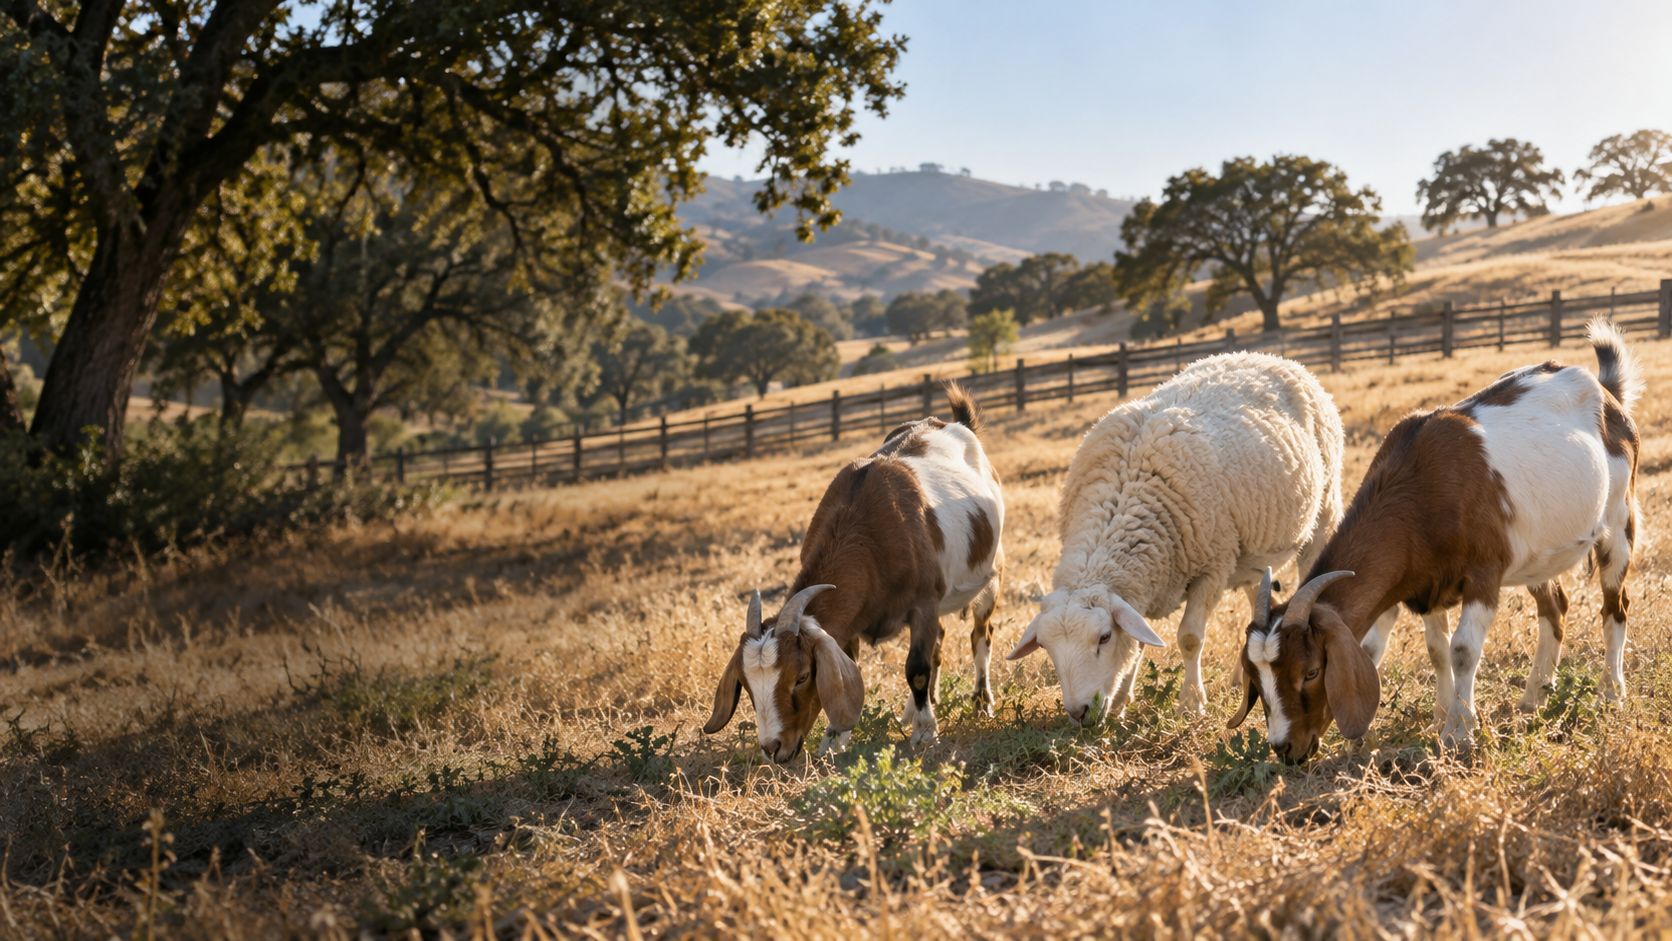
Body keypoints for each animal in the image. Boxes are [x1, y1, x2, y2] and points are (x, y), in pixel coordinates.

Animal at [703, 383, 1004, 762]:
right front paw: (835, 738)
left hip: (990, 574)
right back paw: (917, 708)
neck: (868, 535)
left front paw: (925, 733)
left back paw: (981, 701)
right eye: (745, 684)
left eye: (802, 676)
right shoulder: (849, 623)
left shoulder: (924, 602)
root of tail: (956, 422)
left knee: (980, 635)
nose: (774, 748)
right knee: (940, 639)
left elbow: (916, 669)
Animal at [1007, 351, 1348, 724]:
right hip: (1251, 557)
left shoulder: (1212, 567)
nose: (1079, 713)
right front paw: (1122, 701)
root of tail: (1269, 356)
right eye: (1045, 646)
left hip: (1323, 510)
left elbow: (1188, 638)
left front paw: (1191, 704)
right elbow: (1139, 641)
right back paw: (1242, 677)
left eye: (1104, 637)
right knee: (1260, 600)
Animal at [1230, 318, 1643, 762]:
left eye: (1310, 671)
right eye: (1256, 677)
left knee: (1616, 605)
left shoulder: (1484, 571)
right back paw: (1534, 699)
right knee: (1555, 607)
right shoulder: (1428, 579)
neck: (1420, 488)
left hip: (1619, 519)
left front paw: (1459, 732)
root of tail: (1607, 392)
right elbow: (1436, 649)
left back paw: (1611, 694)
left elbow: (1462, 650)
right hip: (1538, 552)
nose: (1286, 748)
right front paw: (1440, 716)